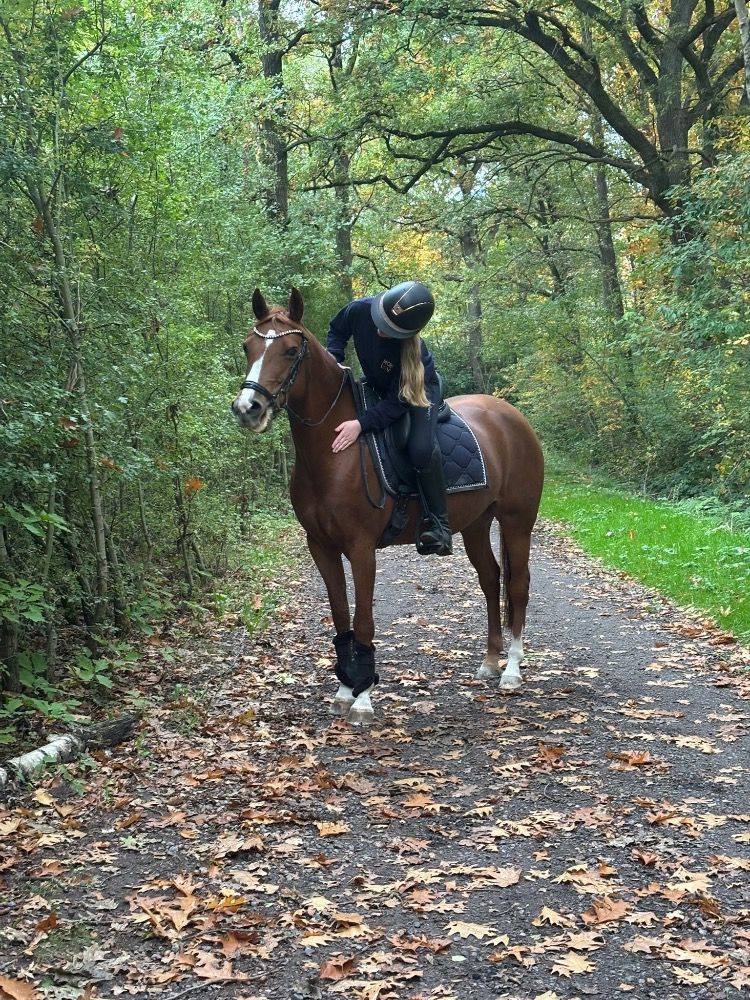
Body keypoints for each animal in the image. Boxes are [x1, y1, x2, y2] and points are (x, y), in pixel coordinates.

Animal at [232, 288, 544, 725]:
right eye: (249, 346)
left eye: (291, 351)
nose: (248, 409)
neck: (334, 453)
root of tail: (512, 416)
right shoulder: (321, 547)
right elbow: (342, 617)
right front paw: (344, 689)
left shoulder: (362, 549)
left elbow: (363, 620)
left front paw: (362, 698)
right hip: (476, 524)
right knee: (490, 579)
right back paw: (489, 662)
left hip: (517, 520)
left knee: (517, 585)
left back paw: (512, 670)